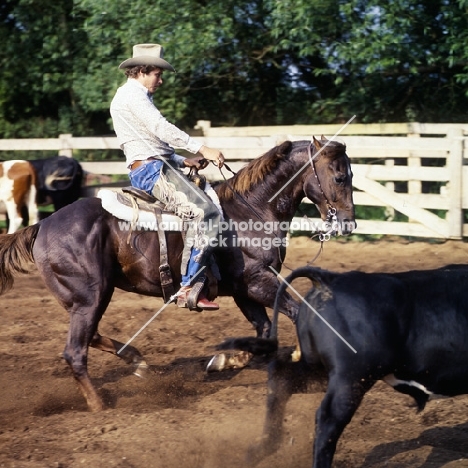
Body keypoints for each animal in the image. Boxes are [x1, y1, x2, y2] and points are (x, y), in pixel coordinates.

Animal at [0, 137, 354, 412]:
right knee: (75, 351)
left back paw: (137, 362)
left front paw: (225, 361)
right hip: (90, 296)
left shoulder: (245, 291)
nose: (348, 223)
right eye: (339, 177)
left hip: (86, 299)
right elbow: (296, 312)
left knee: (91, 336)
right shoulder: (259, 283)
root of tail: (43, 225)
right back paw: (99, 405)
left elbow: (264, 330)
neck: (250, 211)